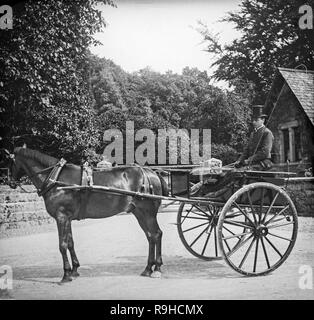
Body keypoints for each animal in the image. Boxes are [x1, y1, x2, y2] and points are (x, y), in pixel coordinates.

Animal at [6, 147, 168, 282]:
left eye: (10, 163)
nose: (11, 183)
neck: (56, 179)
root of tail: (150, 173)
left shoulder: (61, 217)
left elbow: (62, 245)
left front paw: (66, 274)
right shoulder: (67, 218)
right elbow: (70, 242)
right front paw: (74, 270)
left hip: (148, 213)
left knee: (156, 234)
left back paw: (157, 268)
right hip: (139, 213)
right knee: (150, 236)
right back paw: (148, 268)